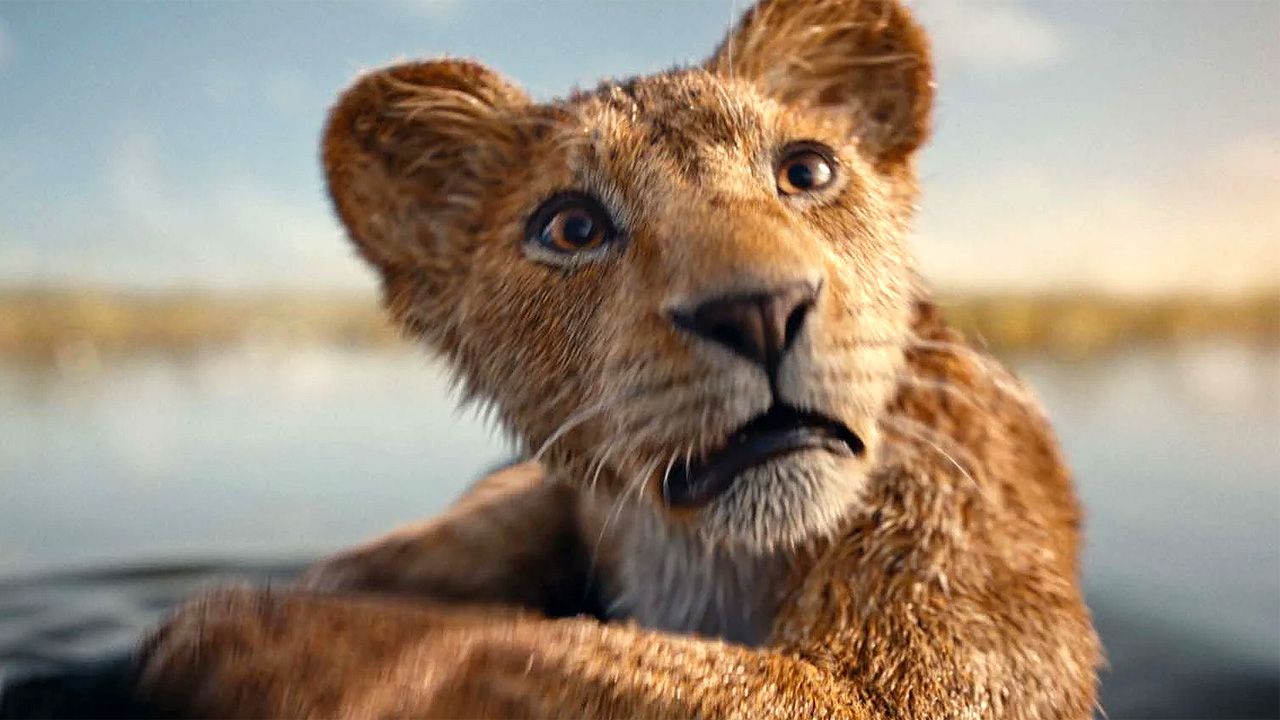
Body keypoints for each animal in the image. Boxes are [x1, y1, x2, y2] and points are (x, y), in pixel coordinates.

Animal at [133, 0, 1102, 717]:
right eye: (571, 227)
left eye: (808, 171)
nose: (759, 311)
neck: (709, 560)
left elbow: (503, 646)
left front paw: (247, 634)